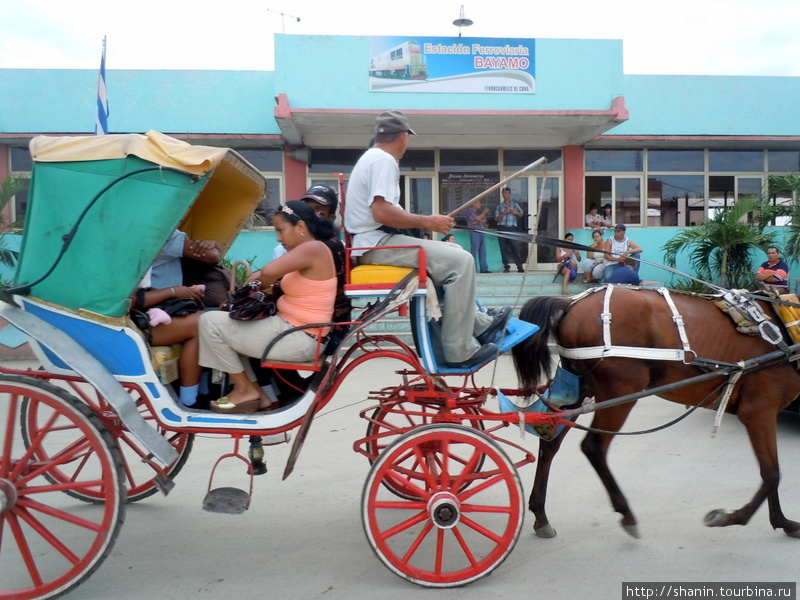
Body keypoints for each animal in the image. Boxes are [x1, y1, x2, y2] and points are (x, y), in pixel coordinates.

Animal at [512, 286, 800, 540]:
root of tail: (570, 303)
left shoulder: (765, 413)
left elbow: (772, 472)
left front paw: (782, 521)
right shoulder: (758, 411)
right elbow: (771, 473)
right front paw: (730, 517)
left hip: (580, 386)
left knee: (550, 443)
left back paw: (541, 516)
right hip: (620, 390)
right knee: (593, 447)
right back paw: (626, 514)